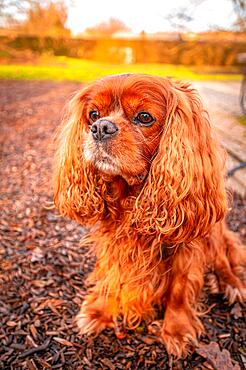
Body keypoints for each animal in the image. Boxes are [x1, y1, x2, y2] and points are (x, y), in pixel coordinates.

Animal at [54, 73, 246, 356]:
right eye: (93, 114)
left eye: (145, 117)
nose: (101, 127)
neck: (132, 197)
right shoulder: (113, 241)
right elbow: (112, 273)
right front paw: (100, 310)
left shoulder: (187, 247)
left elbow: (179, 290)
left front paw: (176, 330)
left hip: (214, 230)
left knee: (223, 258)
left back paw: (231, 283)